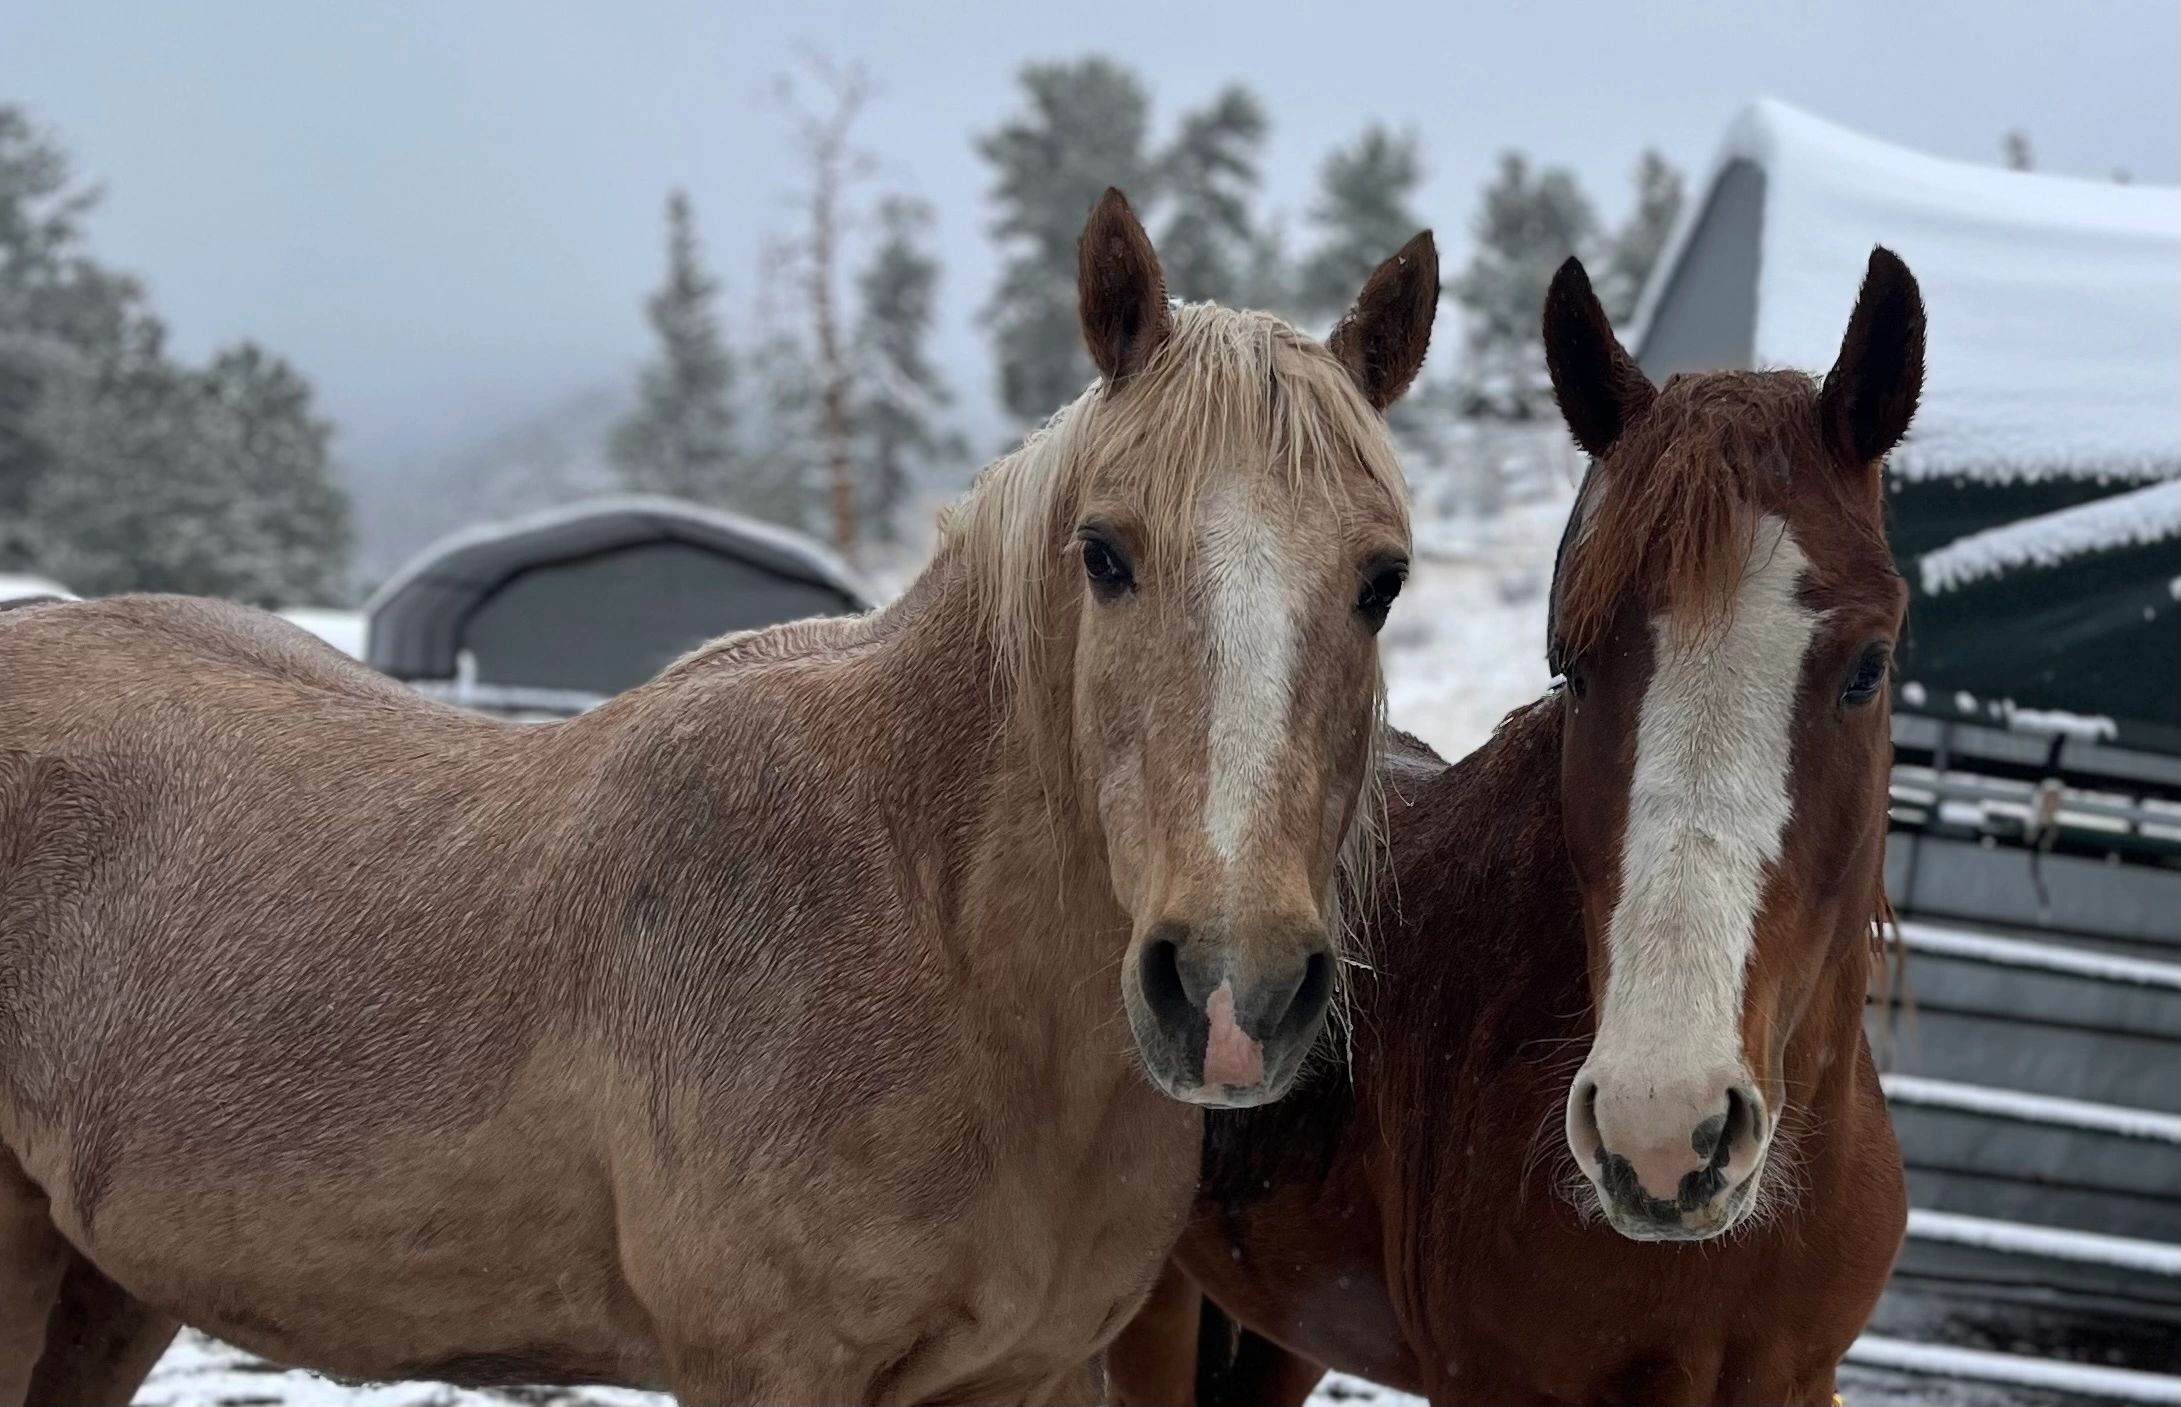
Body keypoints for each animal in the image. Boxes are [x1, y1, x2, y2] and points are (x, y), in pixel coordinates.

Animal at [0, 188, 1441, 1407]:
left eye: (1381, 581)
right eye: (1104, 553)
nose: (1232, 992)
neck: (926, 927)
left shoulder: (1017, 1376)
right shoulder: (768, 1367)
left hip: (105, 1290)